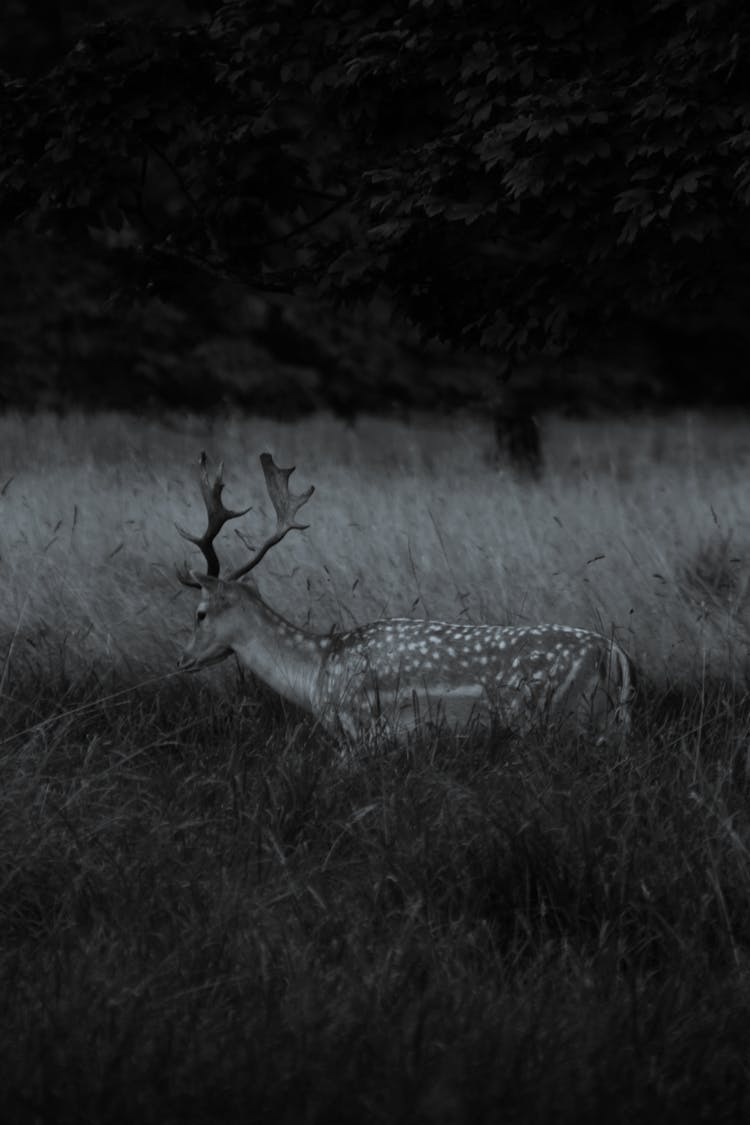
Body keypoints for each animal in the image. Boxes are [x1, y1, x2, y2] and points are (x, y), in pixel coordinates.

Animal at [178, 452, 638, 742]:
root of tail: (615, 655)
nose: (183, 660)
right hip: (611, 726)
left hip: (564, 717)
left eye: (200, 613)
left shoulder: (361, 730)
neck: (318, 672)